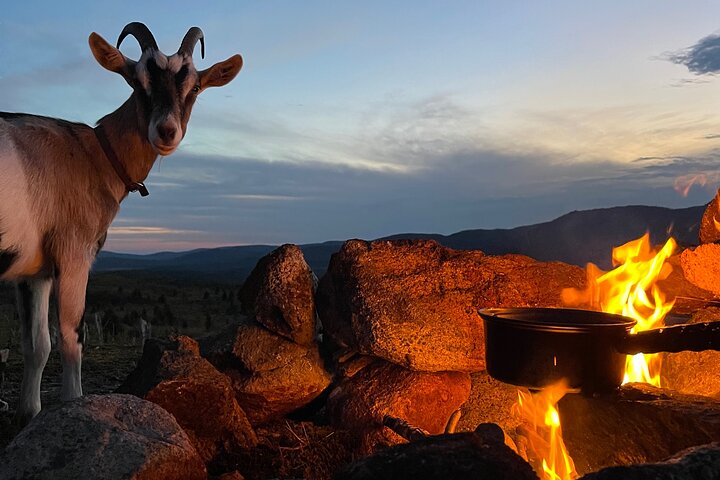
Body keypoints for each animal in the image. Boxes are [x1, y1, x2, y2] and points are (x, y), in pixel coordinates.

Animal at [0, 22, 243, 424]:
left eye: (194, 87)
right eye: (137, 81)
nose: (166, 131)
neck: (92, 154)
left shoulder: (34, 270)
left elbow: (37, 345)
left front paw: (29, 415)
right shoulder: (74, 254)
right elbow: (71, 337)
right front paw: (74, 406)